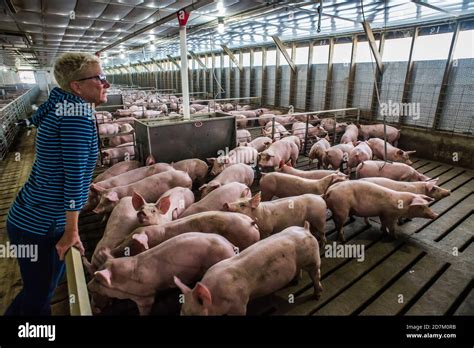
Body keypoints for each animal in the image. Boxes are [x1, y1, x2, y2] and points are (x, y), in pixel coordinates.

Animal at [174, 223, 322, 316]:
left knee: (315, 275)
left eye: (194, 314)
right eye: (182, 312)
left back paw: (316, 296)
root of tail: (305, 229)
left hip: (312, 259)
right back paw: (295, 282)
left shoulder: (239, 305)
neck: (215, 297)